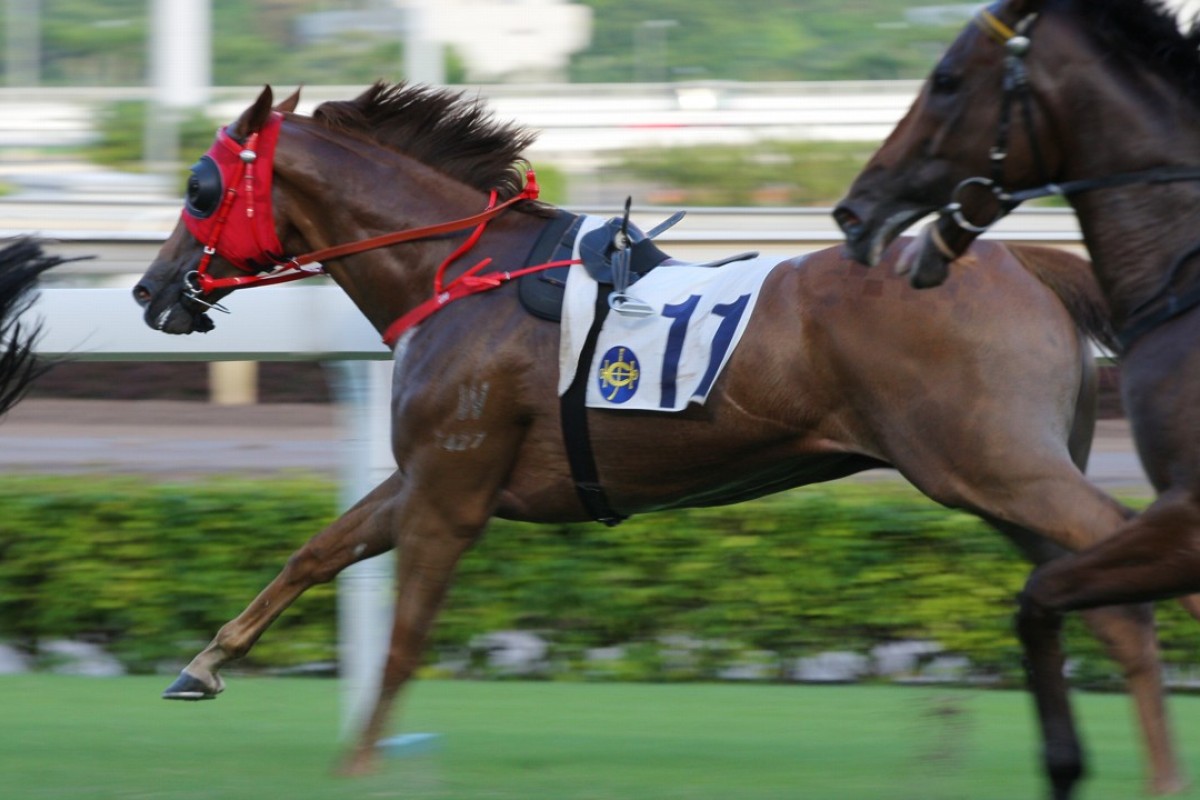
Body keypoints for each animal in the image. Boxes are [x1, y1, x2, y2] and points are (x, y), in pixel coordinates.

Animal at [138, 84, 1161, 786]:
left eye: (200, 185)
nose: (151, 290)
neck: (460, 272)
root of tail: (1024, 261)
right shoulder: (433, 473)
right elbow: (315, 552)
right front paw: (201, 666)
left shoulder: (451, 491)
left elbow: (406, 632)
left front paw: (358, 760)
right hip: (1004, 478)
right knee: (1092, 592)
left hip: (995, 467)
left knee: (1122, 557)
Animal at [835, 0, 1200, 796]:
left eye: (945, 78)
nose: (854, 210)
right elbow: (1047, 599)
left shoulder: (1186, 515)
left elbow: (1040, 600)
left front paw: (1068, 763)